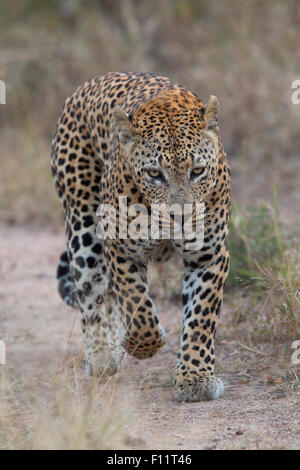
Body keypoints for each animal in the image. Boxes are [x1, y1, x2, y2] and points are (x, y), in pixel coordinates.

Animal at [50, 71, 231, 402]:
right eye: (154, 174)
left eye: (198, 171)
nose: (181, 216)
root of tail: (90, 83)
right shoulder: (120, 250)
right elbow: (135, 305)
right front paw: (143, 344)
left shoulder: (209, 256)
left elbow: (200, 318)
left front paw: (195, 377)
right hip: (83, 226)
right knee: (93, 293)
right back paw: (103, 355)